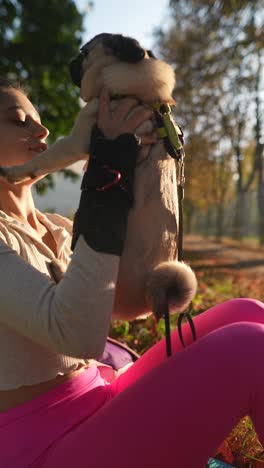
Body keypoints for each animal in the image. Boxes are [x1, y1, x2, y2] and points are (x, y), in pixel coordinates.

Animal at [0, 32, 196, 318]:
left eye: (84, 52)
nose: (70, 61)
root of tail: (150, 301)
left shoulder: (77, 138)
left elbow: (43, 160)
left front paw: (13, 173)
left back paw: (58, 267)